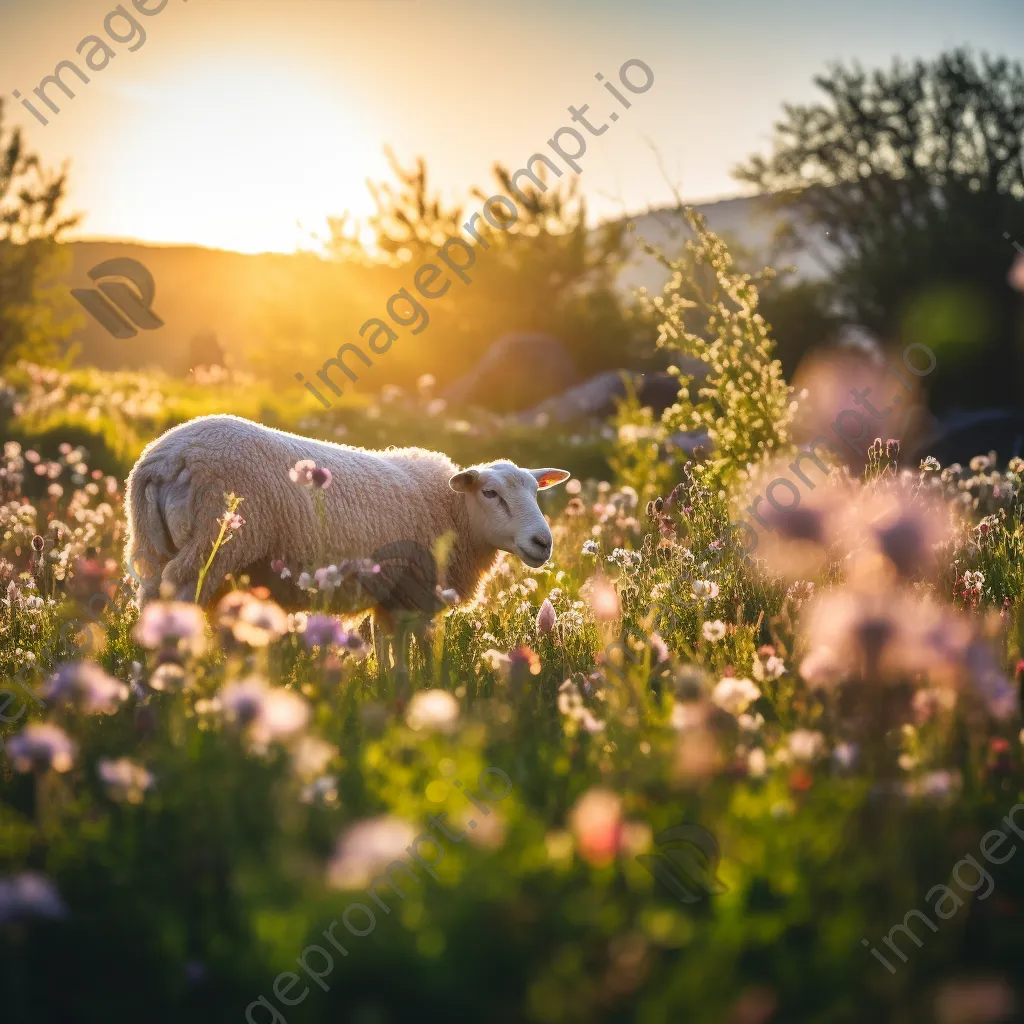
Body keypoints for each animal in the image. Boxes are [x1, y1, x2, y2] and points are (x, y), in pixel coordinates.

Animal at [122, 415, 569, 671]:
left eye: (536, 491)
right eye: (490, 493)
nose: (542, 542)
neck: (452, 511)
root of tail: (162, 458)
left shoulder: (389, 594)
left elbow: (388, 652)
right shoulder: (414, 592)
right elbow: (414, 655)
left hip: (154, 544)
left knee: (153, 599)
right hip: (213, 545)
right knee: (178, 599)